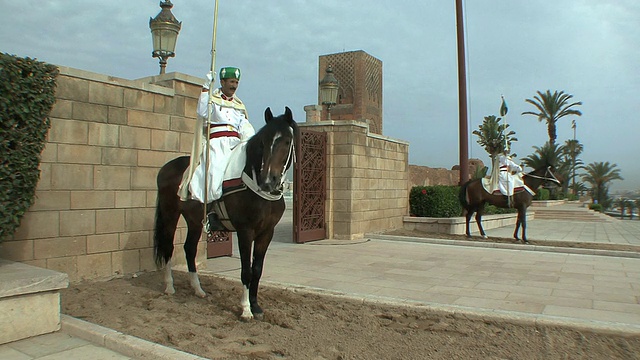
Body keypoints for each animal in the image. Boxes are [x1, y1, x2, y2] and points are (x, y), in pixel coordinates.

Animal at [155, 107, 298, 320]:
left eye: (287, 141)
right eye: (263, 142)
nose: (268, 181)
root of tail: (166, 167)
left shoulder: (267, 232)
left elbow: (257, 269)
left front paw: (256, 306)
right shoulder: (245, 231)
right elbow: (246, 270)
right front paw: (246, 309)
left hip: (195, 221)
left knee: (189, 249)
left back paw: (198, 289)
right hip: (170, 214)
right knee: (168, 247)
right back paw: (169, 286)